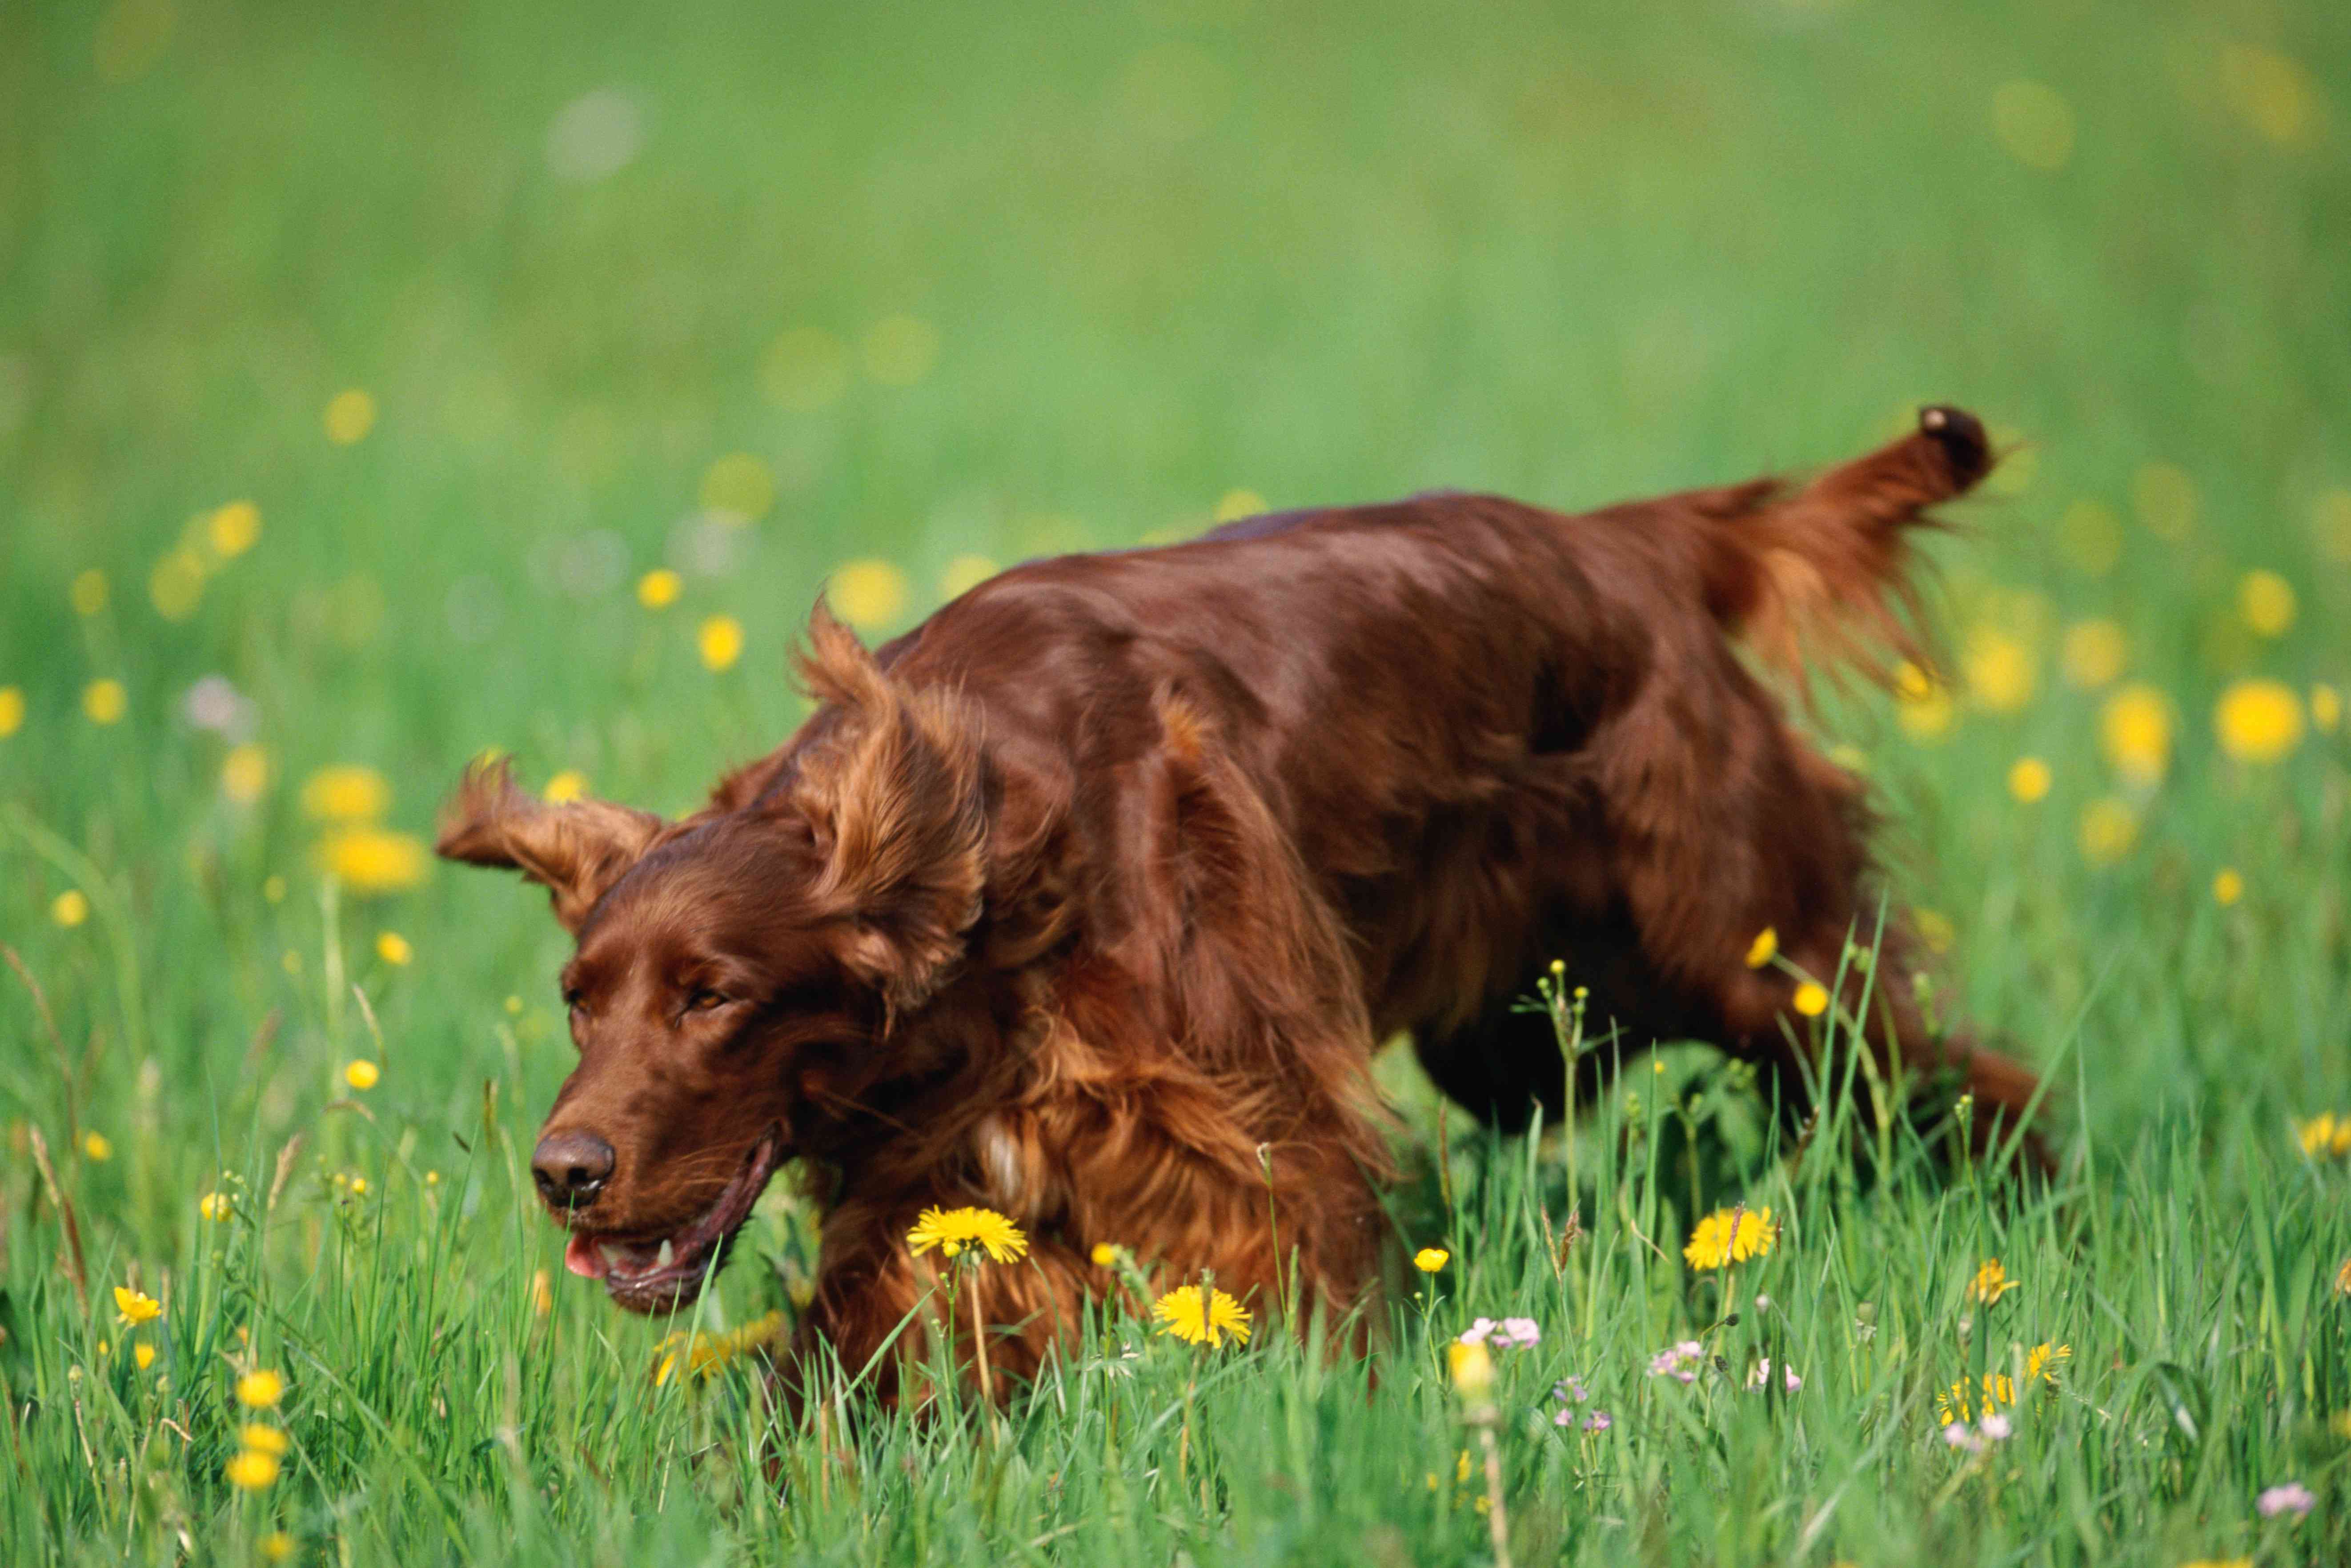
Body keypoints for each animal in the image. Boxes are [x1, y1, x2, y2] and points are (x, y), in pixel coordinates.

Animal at [437, 404, 2040, 1401]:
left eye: (713, 992)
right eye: (578, 1000)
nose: (564, 1170)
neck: (996, 850)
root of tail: (1629, 543)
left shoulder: (1244, 1131)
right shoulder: (944, 1188)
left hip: (1745, 949)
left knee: (1959, 1073)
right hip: (1532, 1023)